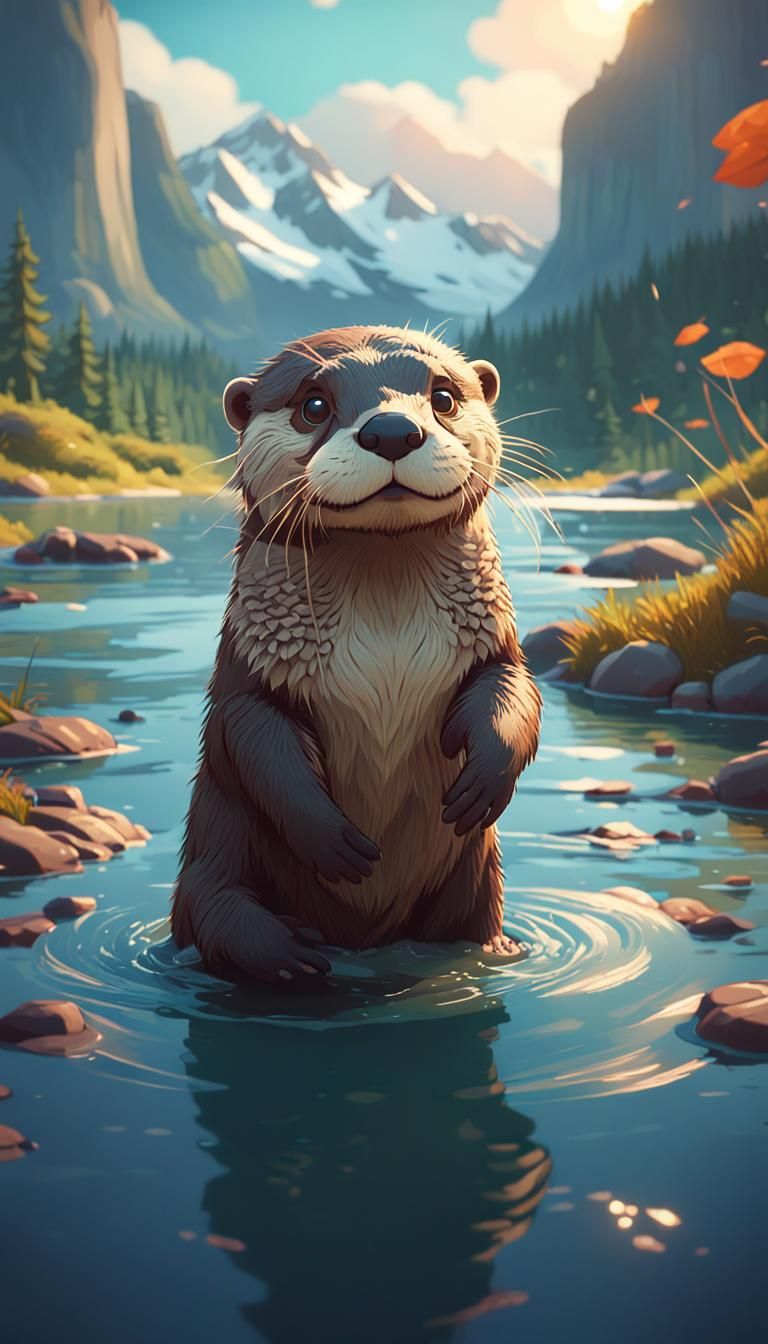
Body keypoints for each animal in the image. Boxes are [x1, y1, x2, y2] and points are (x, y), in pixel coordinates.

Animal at [172, 325, 541, 981]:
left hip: (475, 884)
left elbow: (513, 688)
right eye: (313, 404)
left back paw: (493, 950)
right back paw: (290, 953)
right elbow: (250, 732)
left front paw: (484, 779)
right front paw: (331, 839)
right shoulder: (250, 661)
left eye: (444, 397)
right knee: (216, 910)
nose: (392, 430)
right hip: (215, 852)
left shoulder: (493, 640)